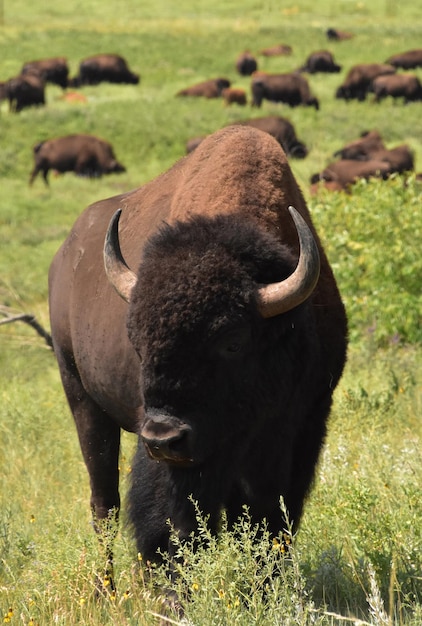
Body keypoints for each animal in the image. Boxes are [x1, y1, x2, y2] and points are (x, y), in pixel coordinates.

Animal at [47, 123, 348, 604]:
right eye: (136, 339)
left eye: (232, 342)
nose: (163, 437)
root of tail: (64, 257)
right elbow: (178, 521)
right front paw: (176, 596)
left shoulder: (304, 426)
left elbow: (268, 520)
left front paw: (264, 592)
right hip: (81, 397)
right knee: (104, 504)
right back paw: (106, 591)